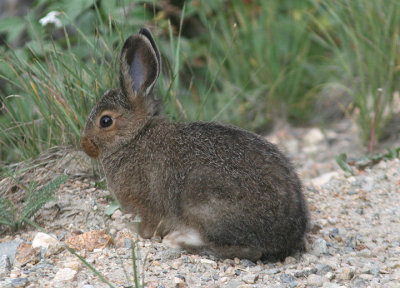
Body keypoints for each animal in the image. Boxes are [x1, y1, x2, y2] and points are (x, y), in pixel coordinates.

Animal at [79, 27, 308, 260]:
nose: (84, 144)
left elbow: (148, 227)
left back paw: (180, 240)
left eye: (105, 121)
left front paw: (134, 232)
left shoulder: (146, 205)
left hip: (205, 202)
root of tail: (286, 236)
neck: (135, 136)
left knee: (246, 249)